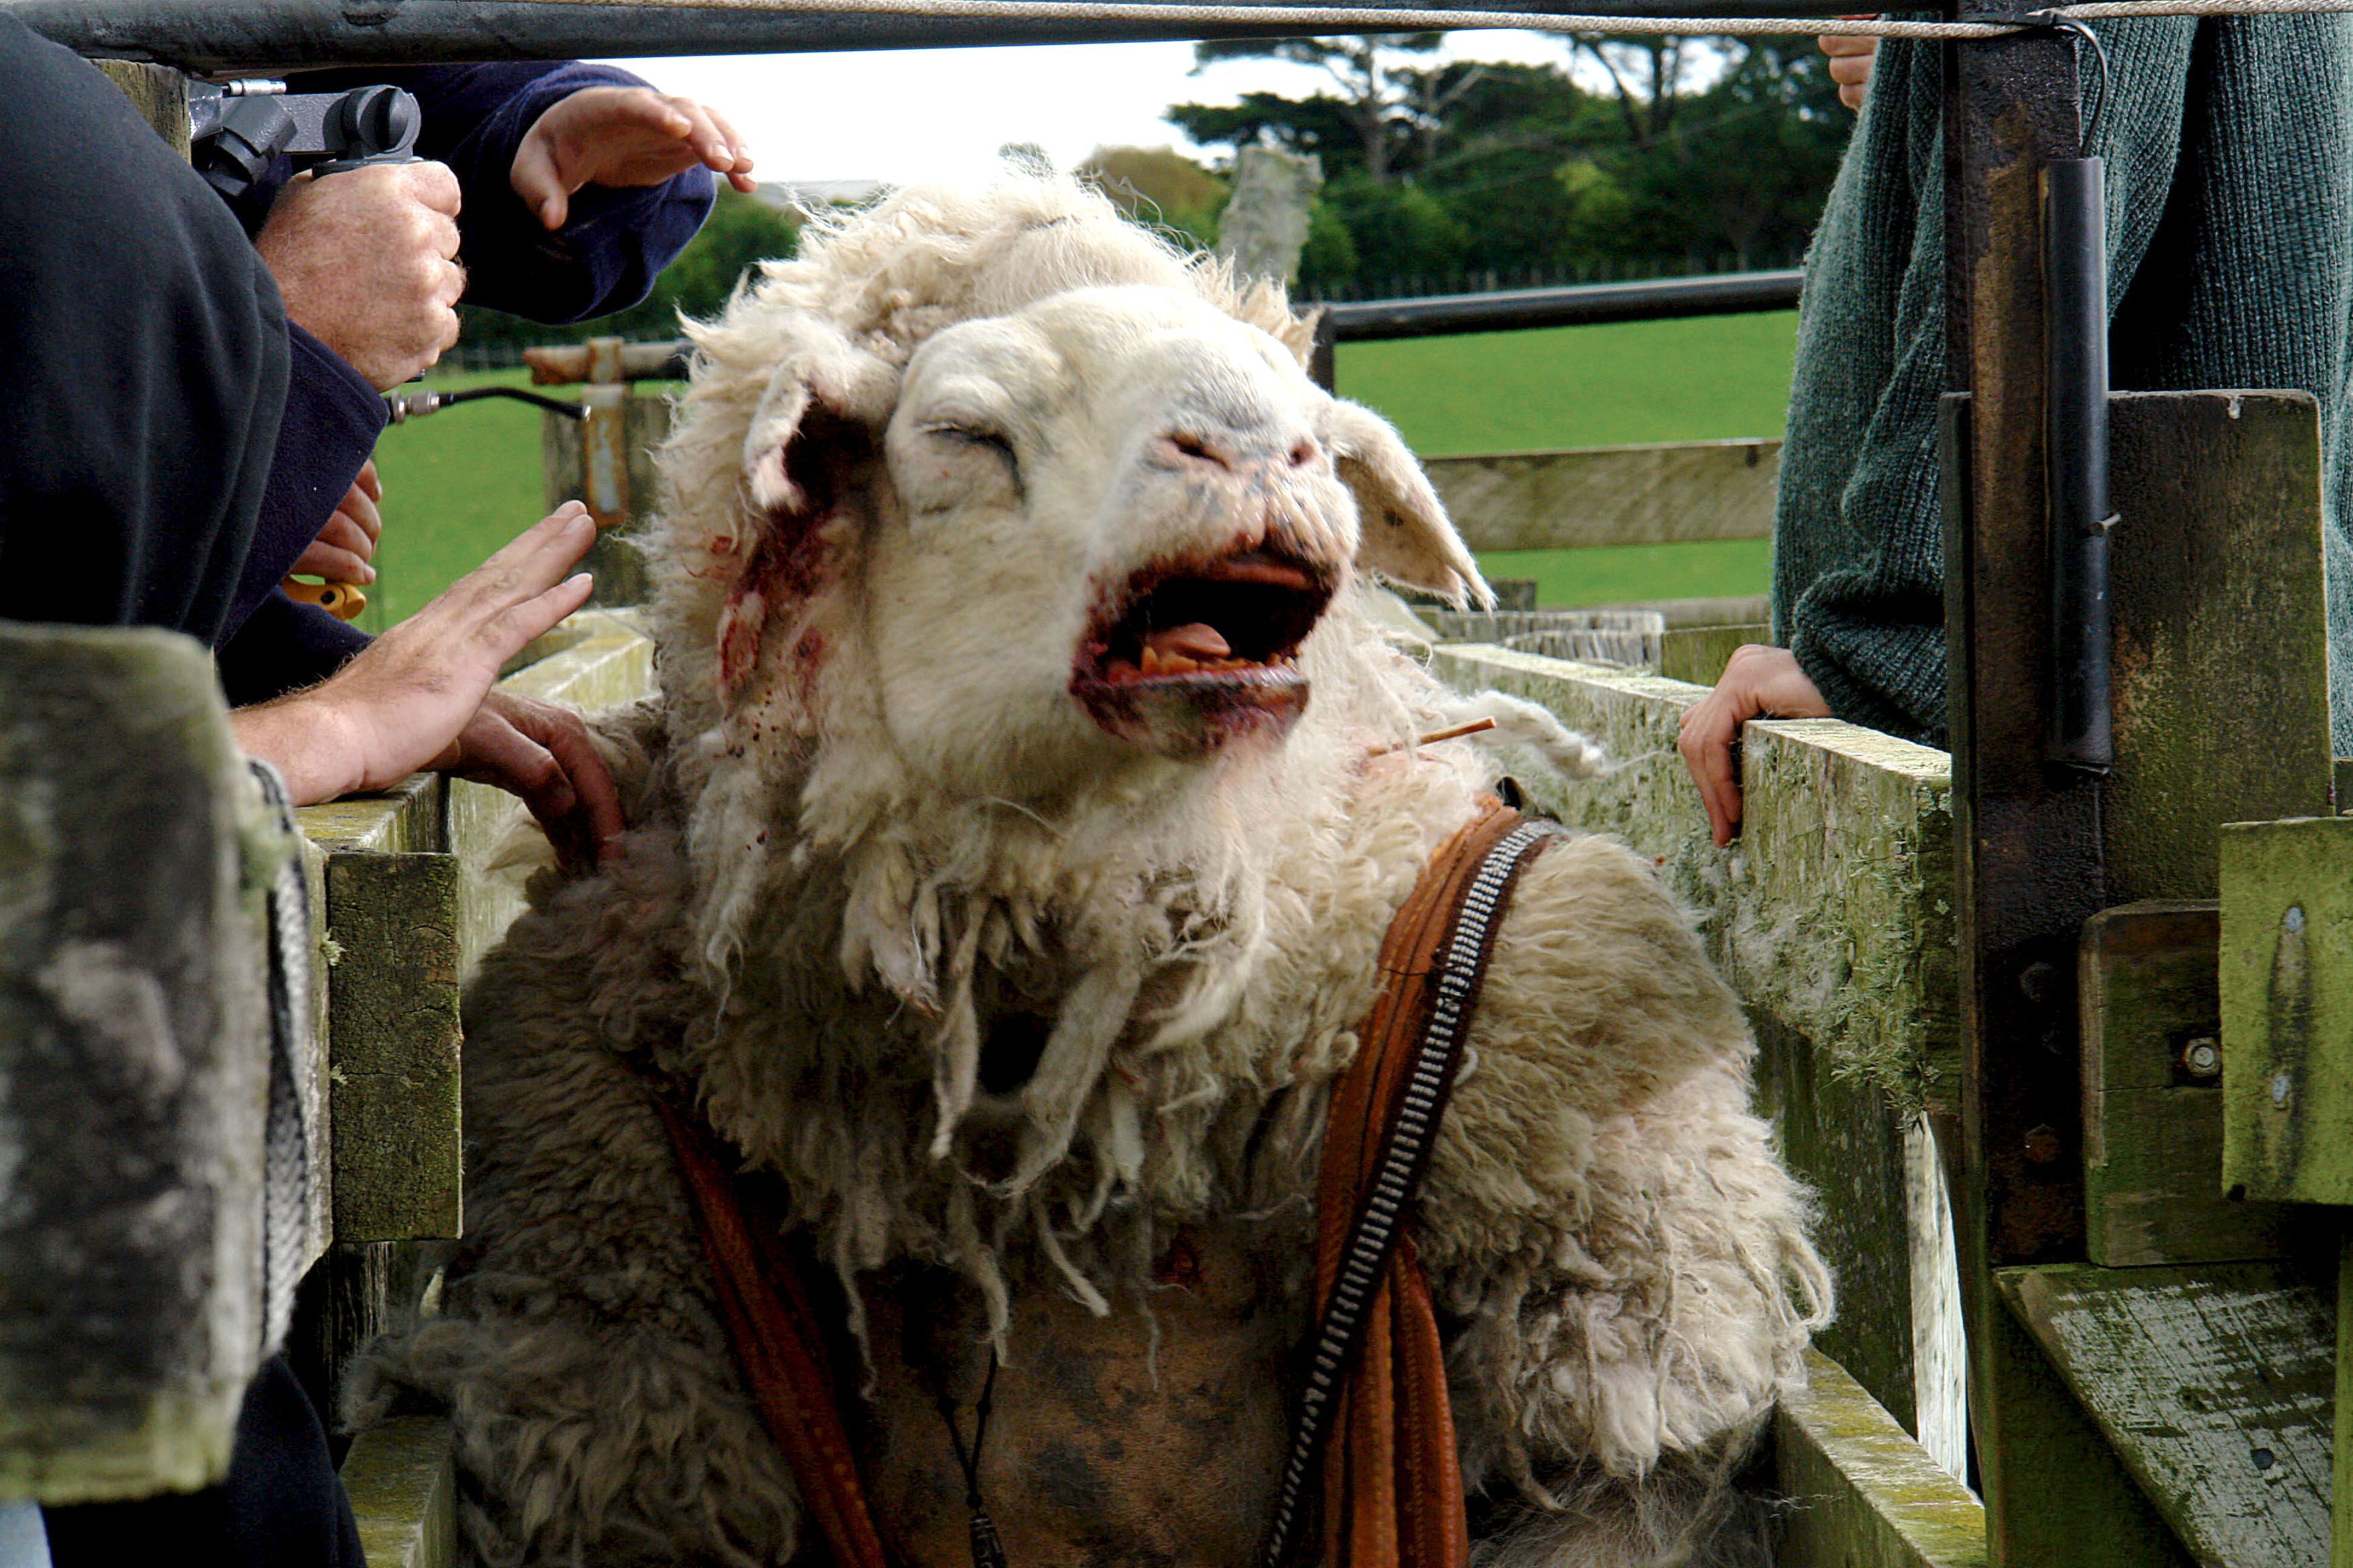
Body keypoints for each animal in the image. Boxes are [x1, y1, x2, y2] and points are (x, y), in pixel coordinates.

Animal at [358, 172, 1830, 1568]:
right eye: (965, 433)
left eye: (1310, 416)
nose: (1261, 447)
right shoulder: (590, 1174)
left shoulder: (1575, 1062)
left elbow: (1607, 1466)